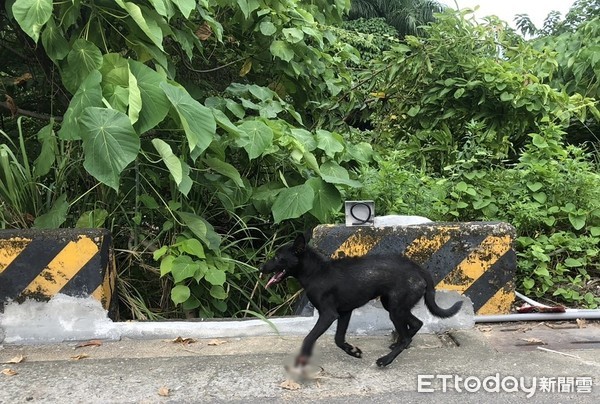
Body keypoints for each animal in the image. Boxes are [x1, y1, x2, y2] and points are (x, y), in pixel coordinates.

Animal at [260, 232, 462, 368]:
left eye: (278, 257)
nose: (261, 268)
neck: (316, 272)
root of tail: (418, 269)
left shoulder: (328, 315)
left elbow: (309, 338)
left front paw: (302, 360)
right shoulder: (344, 313)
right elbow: (338, 339)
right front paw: (352, 351)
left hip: (396, 310)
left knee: (407, 335)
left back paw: (386, 359)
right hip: (393, 305)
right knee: (416, 324)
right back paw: (396, 345)